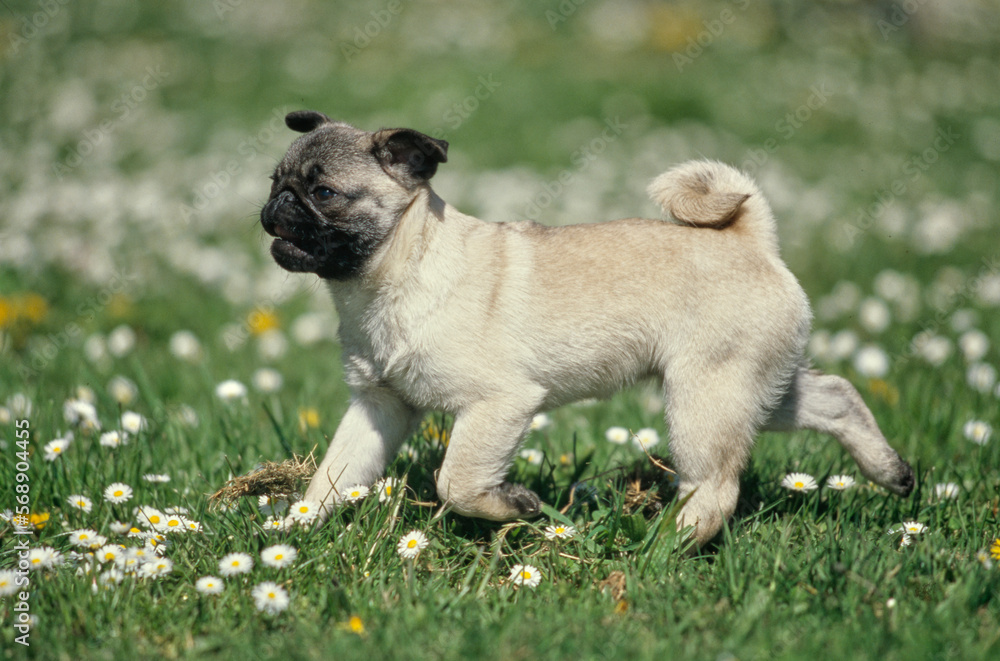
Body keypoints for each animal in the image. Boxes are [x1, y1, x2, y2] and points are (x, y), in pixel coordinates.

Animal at [259, 110, 914, 546]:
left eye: (324, 192)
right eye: (275, 180)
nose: (277, 205)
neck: (396, 271)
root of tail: (750, 238)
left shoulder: (499, 404)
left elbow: (457, 481)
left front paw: (514, 506)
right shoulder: (381, 406)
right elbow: (336, 474)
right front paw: (295, 530)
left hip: (707, 395)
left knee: (716, 484)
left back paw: (666, 546)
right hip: (754, 387)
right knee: (835, 396)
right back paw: (892, 471)